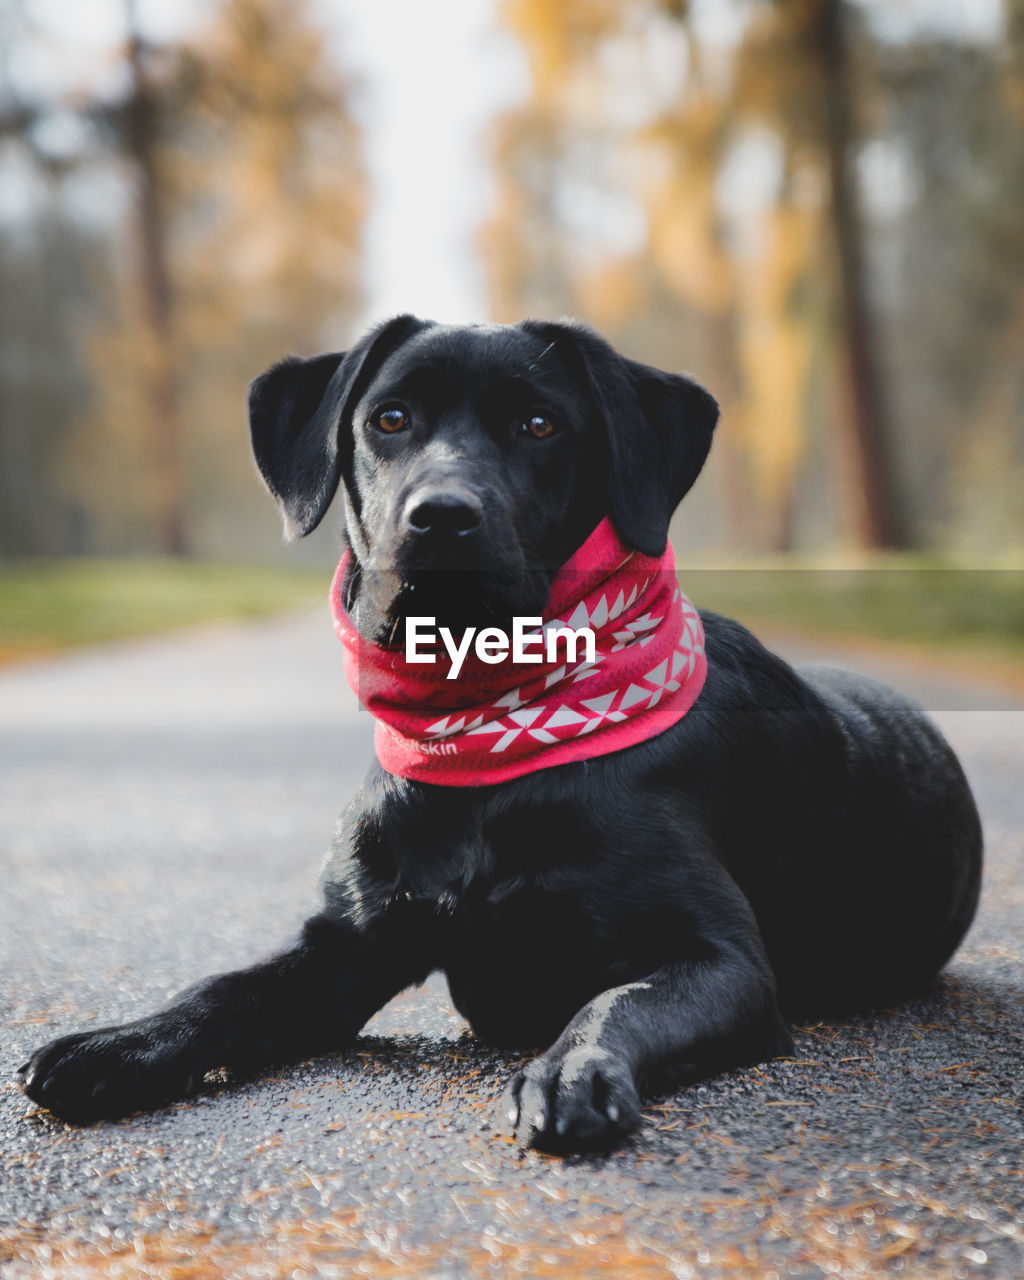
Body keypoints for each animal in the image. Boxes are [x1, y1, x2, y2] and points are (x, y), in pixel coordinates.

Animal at [20, 317, 977, 1152]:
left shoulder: (722, 962)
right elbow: (225, 988)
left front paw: (572, 1070)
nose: (441, 514)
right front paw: (120, 1043)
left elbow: (615, 1000)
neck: (486, 742)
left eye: (540, 423)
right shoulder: (344, 949)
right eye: (389, 419)